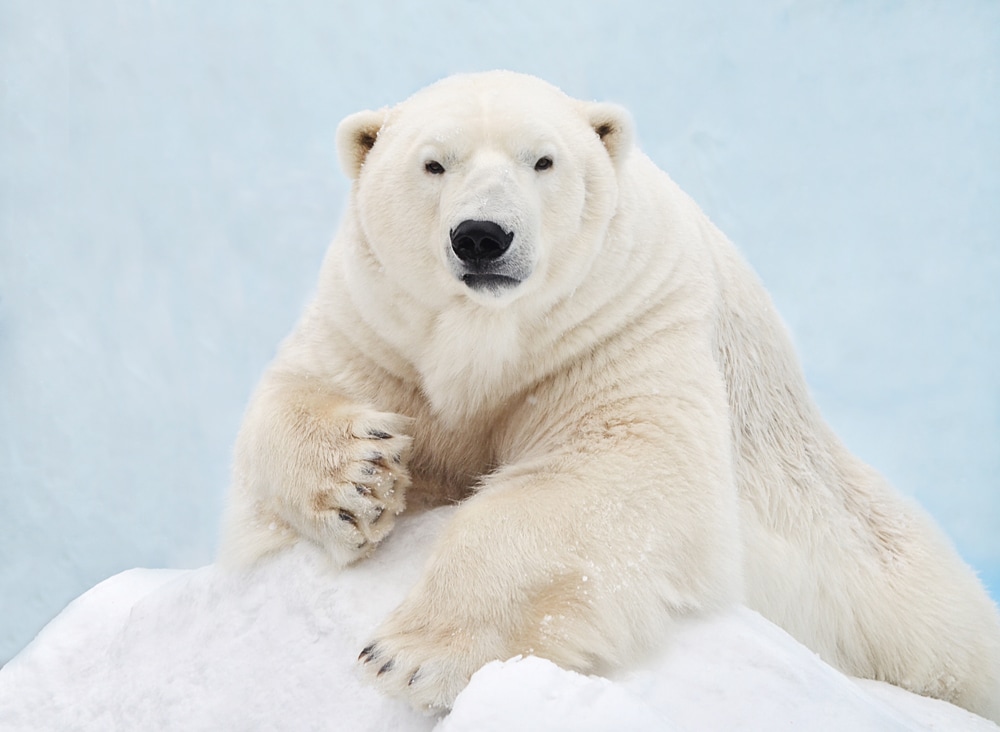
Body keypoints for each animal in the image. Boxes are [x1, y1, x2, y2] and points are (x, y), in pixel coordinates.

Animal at [219, 70, 1000, 721]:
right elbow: (297, 389)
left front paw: (411, 654)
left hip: (897, 596)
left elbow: (616, 467)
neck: (492, 335)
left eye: (543, 160)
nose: (482, 236)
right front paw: (361, 481)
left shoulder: (621, 322)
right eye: (434, 163)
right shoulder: (381, 327)